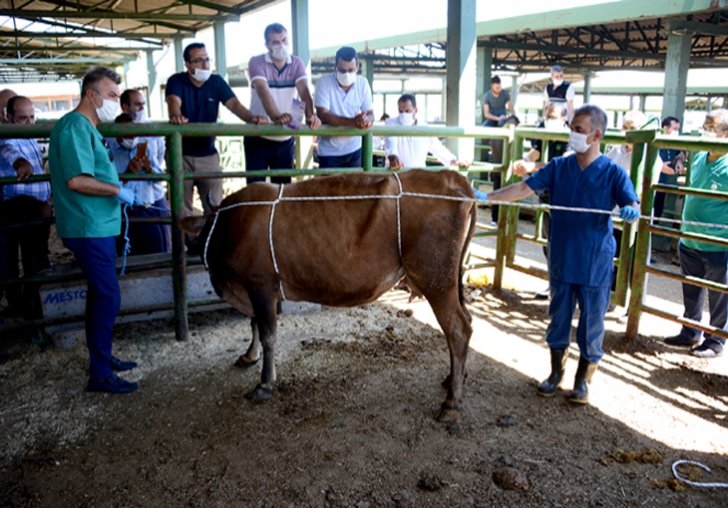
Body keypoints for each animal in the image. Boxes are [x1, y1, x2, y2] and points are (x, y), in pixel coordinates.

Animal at [181, 170, 478, 420]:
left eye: (204, 232)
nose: (191, 248)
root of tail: (452, 178)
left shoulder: (260, 284)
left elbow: (267, 334)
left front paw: (265, 383)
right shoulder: (254, 289)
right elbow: (253, 323)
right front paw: (248, 356)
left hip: (436, 280)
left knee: (457, 329)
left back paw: (451, 402)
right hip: (449, 281)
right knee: (467, 321)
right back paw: (454, 379)